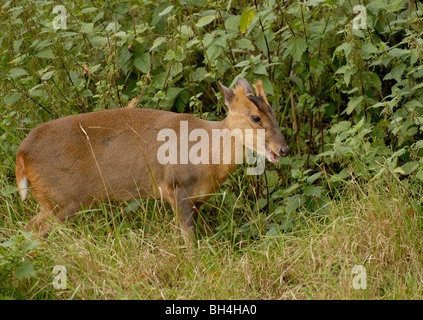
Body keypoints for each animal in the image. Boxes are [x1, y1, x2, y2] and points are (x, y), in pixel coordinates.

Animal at [14, 77, 290, 248]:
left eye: (273, 113)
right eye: (255, 117)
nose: (284, 148)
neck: (208, 157)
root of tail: (21, 153)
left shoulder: (198, 199)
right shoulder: (175, 187)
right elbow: (190, 241)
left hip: (54, 201)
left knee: (28, 229)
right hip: (63, 199)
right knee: (34, 230)